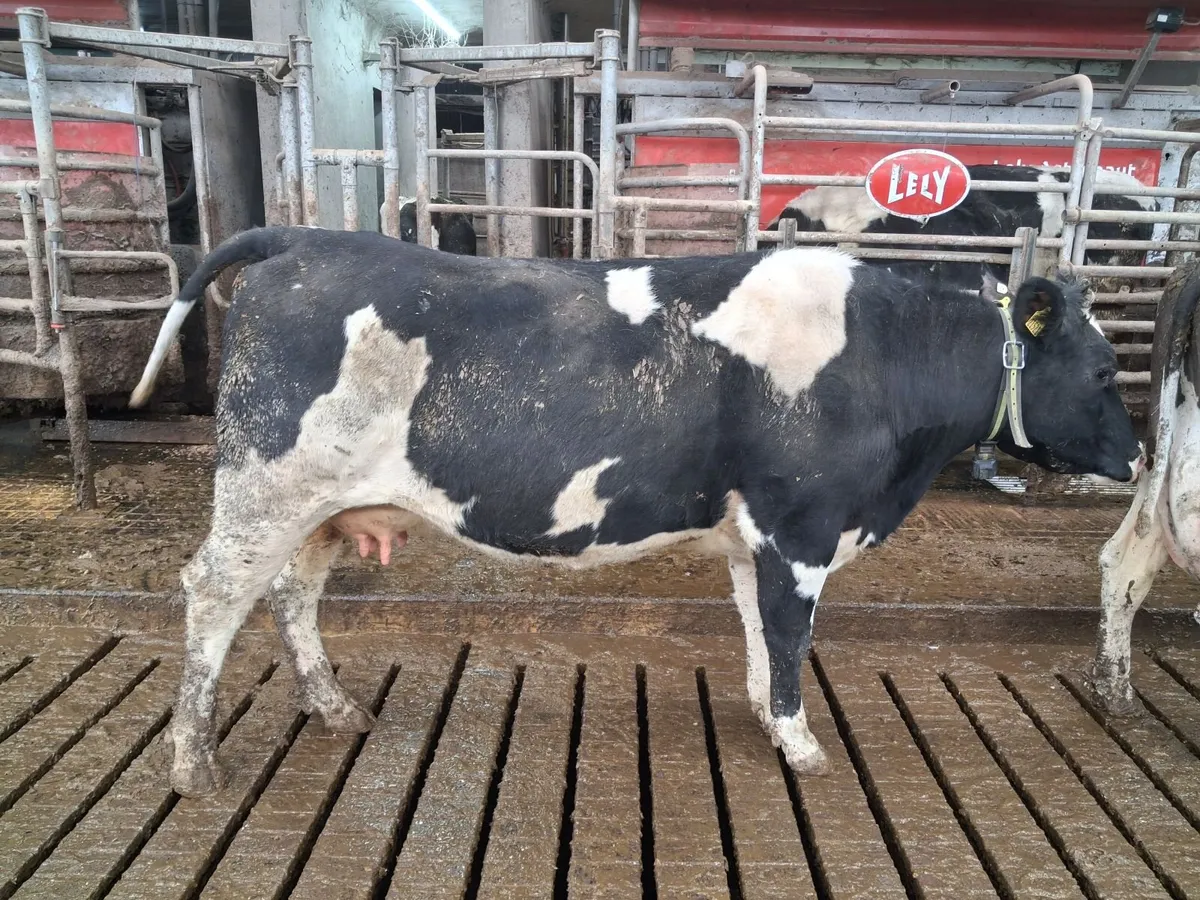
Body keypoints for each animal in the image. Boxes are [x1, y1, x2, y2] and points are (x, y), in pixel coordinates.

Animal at [129, 226, 1142, 798]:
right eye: (1102, 370)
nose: (1137, 458)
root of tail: (300, 240)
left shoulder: (753, 538)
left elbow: (755, 630)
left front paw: (765, 718)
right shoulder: (801, 530)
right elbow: (791, 638)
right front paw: (801, 742)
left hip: (319, 506)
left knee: (292, 592)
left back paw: (333, 705)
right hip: (266, 486)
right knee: (214, 593)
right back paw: (193, 763)